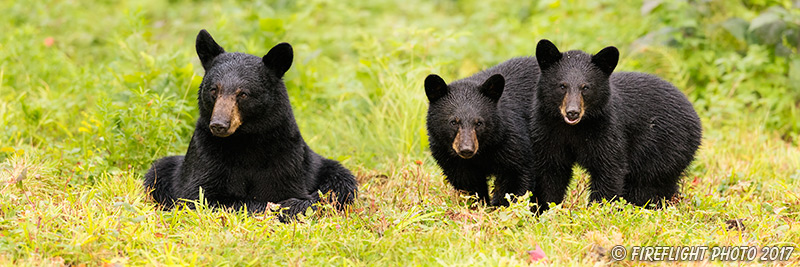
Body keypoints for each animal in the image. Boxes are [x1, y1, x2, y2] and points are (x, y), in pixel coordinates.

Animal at [144, 29, 356, 222]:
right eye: (214, 90)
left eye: (243, 93)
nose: (219, 124)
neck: (246, 140)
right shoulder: (205, 154)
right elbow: (200, 196)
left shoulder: (286, 157)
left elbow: (299, 194)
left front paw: (289, 206)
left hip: (327, 167)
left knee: (341, 184)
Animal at [424, 57, 536, 206]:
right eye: (453, 122)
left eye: (479, 123)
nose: (466, 149)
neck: (484, 150)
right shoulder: (448, 155)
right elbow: (468, 183)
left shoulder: (512, 139)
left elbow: (516, 174)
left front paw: (503, 206)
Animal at [532, 39, 700, 211]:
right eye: (562, 86)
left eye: (586, 87)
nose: (573, 112)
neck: (574, 128)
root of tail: (693, 112)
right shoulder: (548, 130)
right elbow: (552, 172)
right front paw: (548, 208)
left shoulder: (607, 129)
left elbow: (609, 168)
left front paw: (599, 209)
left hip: (665, 148)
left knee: (647, 186)